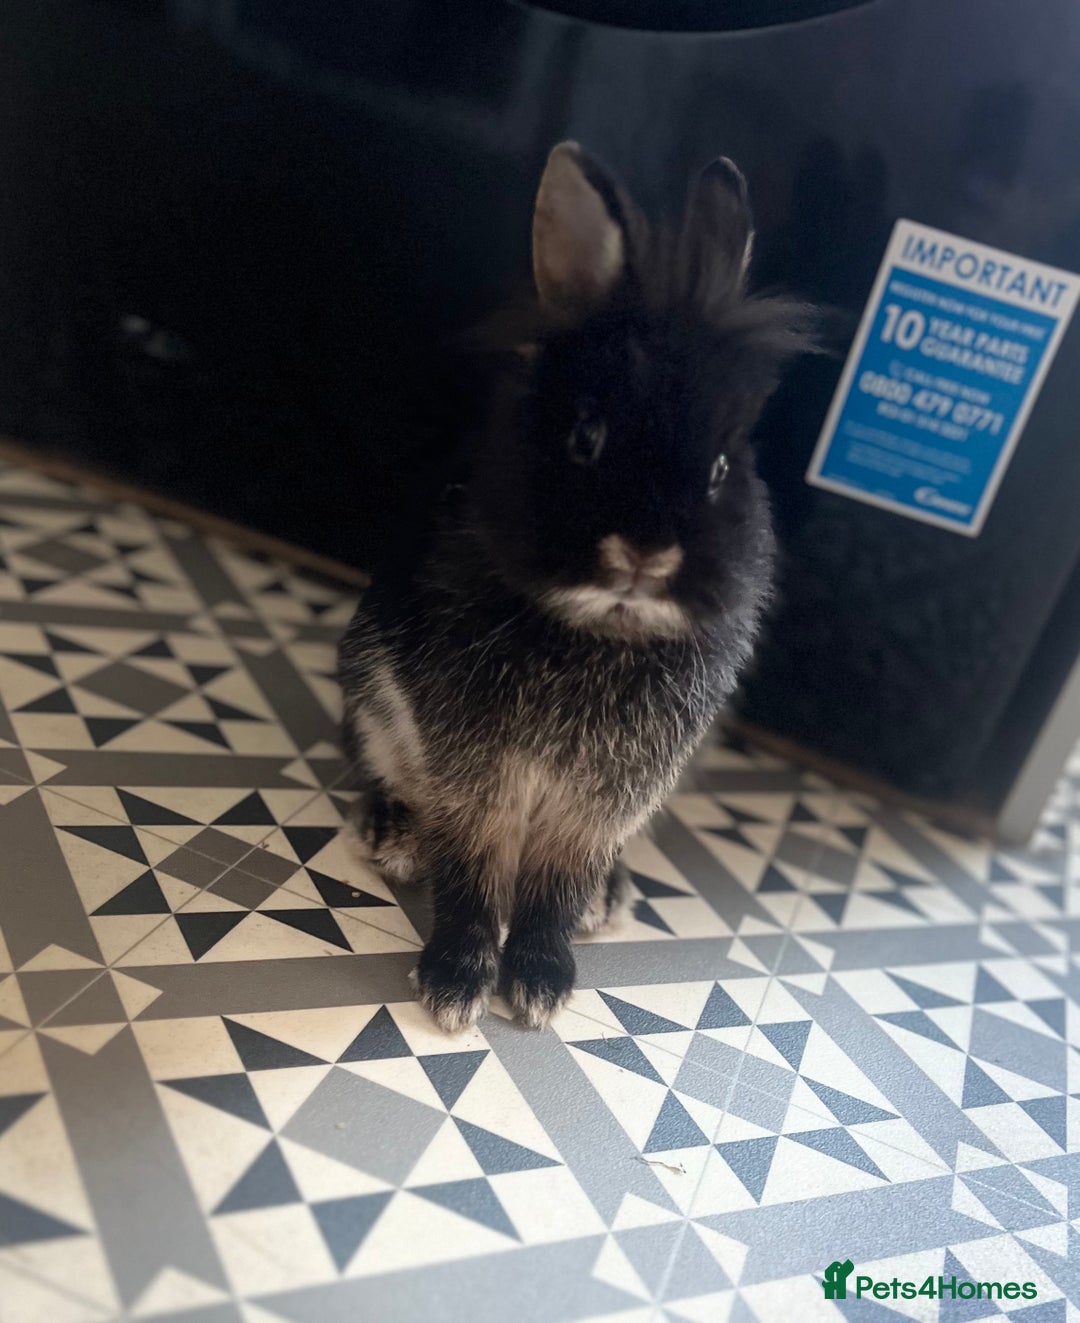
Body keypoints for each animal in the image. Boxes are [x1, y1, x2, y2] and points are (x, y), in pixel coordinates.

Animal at [337, 141, 814, 1032]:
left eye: (720, 468)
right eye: (586, 436)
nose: (645, 554)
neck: (603, 628)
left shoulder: (601, 800)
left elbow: (555, 882)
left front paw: (540, 981)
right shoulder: (478, 772)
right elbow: (475, 866)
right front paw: (456, 983)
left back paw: (608, 899)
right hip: (372, 697)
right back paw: (393, 834)